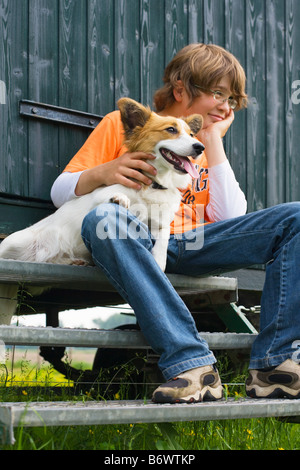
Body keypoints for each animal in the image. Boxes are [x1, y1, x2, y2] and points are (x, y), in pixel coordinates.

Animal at [0, 98, 204, 324]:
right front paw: (122, 199)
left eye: (192, 134)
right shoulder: (99, 196)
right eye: (171, 129)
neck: (155, 183)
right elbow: (120, 198)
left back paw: (74, 262)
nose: (200, 147)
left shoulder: (161, 222)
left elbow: (162, 240)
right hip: (13, 244)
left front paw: (159, 263)